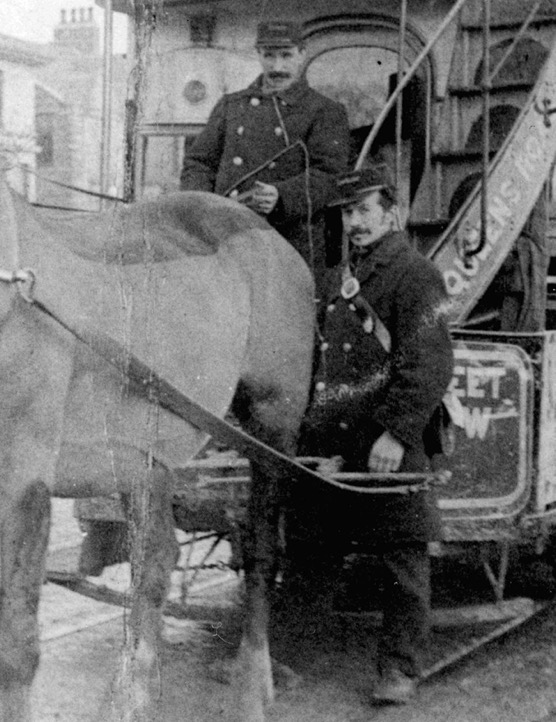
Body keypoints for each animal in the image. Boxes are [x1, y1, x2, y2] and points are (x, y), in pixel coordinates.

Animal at [0, 176, 314, 720]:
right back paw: (132, 694)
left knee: (260, 551)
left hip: (273, 427)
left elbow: (15, 646)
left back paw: (252, 684)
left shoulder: (21, 481)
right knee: (155, 561)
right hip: (144, 457)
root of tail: (264, 230)